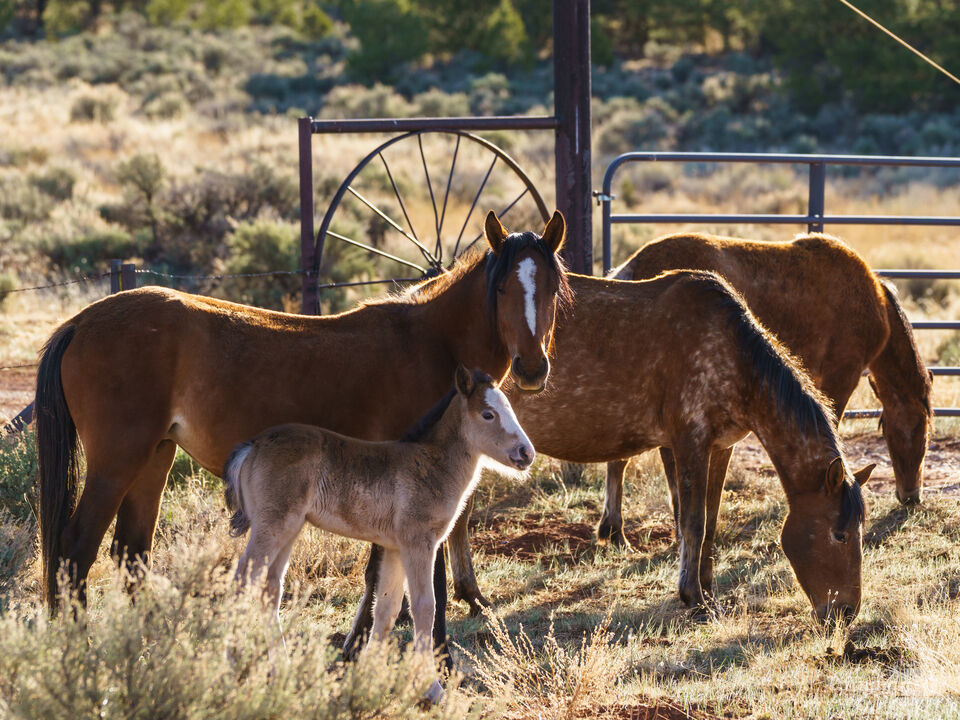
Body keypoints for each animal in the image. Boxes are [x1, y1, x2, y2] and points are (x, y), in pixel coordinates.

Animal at [35, 209, 570, 612]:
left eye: (550, 287)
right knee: (76, 552)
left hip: (154, 457)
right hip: (118, 461)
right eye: (502, 289)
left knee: (131, 552)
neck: (429, 341)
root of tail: (81, 323)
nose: (532, 367)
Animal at [225, 366, 534, 704]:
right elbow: (424, 606)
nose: (526, 453)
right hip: (271, 527)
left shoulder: (395, 548)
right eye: (488, 414)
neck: (431, 466)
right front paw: (431, 688)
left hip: (288, 529)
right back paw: (228, 667)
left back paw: (281, 668)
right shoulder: (418, 543)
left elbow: (387, 608)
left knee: (269, 588)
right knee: (241, 583)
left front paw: (369, 677)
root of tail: (252, 446)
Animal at [347, 269, 874, 655]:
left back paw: (470, 596)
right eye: (838, 534)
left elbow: (710, 521)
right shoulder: (689, 441)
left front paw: (706, 588)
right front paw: (693, 597)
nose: (847, 613)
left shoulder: (719, 446)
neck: (731, 352)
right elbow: (692, 520)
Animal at [598, 231, 931, 547]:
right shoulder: (840, 376)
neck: (874, 303)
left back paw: (614, 530)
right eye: (923, 434)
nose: (911, 495)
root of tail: (628, 271)